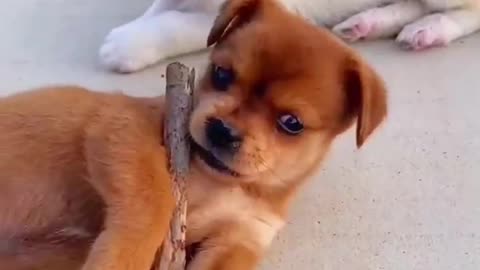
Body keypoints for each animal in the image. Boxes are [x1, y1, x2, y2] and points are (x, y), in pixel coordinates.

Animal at [0, 0, 386, 270]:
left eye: (291, 123)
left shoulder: (239, 238)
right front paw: (123, 257)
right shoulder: (124, 128)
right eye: (221, 74)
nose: (222, 130)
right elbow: (155, 201)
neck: (226, 186)